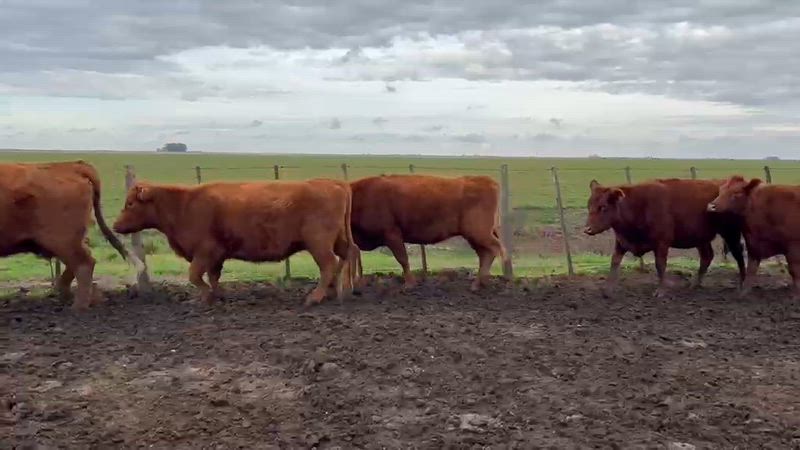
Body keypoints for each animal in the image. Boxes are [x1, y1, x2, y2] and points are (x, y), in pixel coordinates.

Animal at [0, 161, 144, 310]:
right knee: (79, 262)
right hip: (69, 241)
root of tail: (72, 165)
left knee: (84, 264)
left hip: (60, 240)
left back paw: (78, 306)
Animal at [112, 179, 357, 306]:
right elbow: (213, 276)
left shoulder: (205, 252)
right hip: (337, 240)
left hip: (319, 243)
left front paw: (206, 297)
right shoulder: (216, 256)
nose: (115, 225)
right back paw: (336, 291)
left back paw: (315, 297)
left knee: (328, 265)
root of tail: (332, 182)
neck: (184, 205)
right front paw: (218, 295)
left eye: (130, 203)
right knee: (345, 256)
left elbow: (195, 276)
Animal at [349, 174, 508, 291]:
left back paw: (490, 281)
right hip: (475, 237)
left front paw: (409, 284)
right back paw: (480, 283)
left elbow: (403, 259)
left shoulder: (392, 235)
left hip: (479, 233)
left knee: (496, 249)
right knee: (486, 254)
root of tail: (485, 180)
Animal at [584, 178, 745, 297]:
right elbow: (614, 262)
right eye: (589, 205)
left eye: (603, 207)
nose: (587, 229)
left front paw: (661, 290)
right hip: (701, 238)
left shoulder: (662, 243)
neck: (639, 206)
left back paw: (742, 283)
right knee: (707, 256)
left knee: (739, 255)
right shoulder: (621, 242)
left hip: (730, 233)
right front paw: (608, 289)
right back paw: (695, 284)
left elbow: (660, 265)